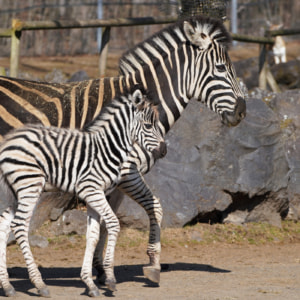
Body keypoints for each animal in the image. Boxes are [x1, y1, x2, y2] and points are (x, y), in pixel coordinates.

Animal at [0, 88, 166, 298]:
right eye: (148, 125)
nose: (164, 150)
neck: (108, 148)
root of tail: (8, 141)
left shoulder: (94, 195)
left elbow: (92, 235)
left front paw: (90, 283)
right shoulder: (91, 190)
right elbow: (114, 224)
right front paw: (109, 278)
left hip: (19, 191)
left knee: (4, 224)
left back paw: (7, 286)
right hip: (29, 185)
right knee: (19, 225)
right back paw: (39, 284)